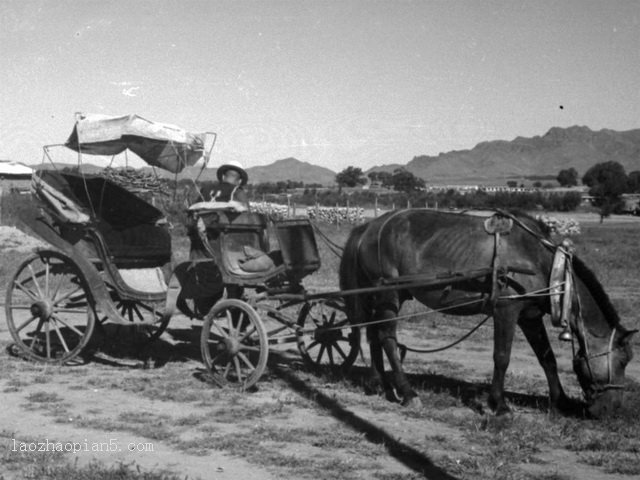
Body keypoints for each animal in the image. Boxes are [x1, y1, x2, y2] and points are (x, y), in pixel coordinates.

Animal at [340, 209, 636, 416]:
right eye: (623, 360)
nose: (613, 409)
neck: (544, 263)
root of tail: (368, 227)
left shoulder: (529, 317)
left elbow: (547, 359)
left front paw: (561, 401)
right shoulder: (506, 310)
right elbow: (502, 357)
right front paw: (500, 405)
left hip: (378, 296)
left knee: (374, 335)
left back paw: (379, 383)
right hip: (389, 295)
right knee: (387, 338)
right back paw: (408, 393)